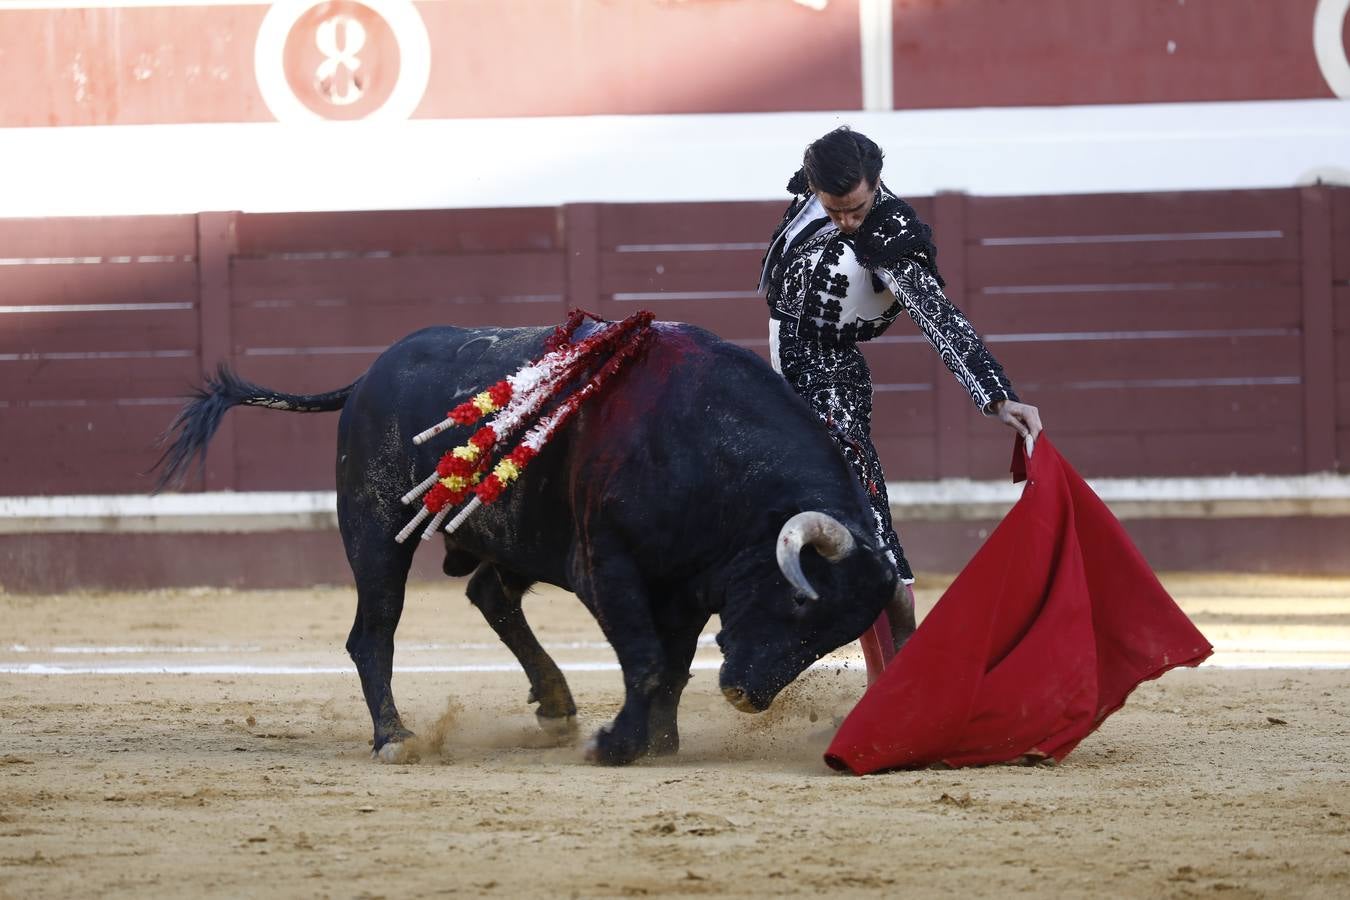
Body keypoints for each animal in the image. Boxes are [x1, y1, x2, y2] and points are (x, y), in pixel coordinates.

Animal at [153, 319, 901, 766]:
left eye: (835, 637)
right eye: (801, 603)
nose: (748, 696)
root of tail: (366, 378)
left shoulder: (687, 589)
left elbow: (673, 664)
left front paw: (656, 741)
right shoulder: (606, 566)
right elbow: (647, 660)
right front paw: (617, 744)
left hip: (511, 535)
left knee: (489, 594)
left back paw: (557, 704)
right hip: (375, 534)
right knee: (374, 633)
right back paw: (395, 737)